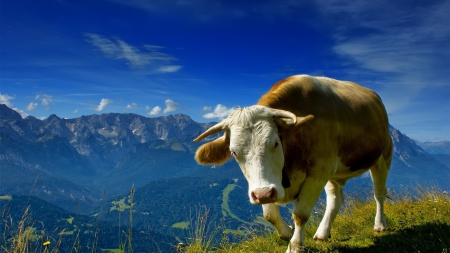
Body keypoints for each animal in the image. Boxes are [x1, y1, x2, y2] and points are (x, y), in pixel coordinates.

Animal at [192, 74, 392, 252]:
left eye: (275, 142)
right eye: (234, 152)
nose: (262, 194)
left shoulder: (318, 172)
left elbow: (300, 214)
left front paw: (294, 246)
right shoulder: (269, 183)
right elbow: (269, 214)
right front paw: (287, 232)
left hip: (383, 157)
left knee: (379, 193)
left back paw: (379, 225)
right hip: (334, 173)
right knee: (335, 198)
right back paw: (322, 233)